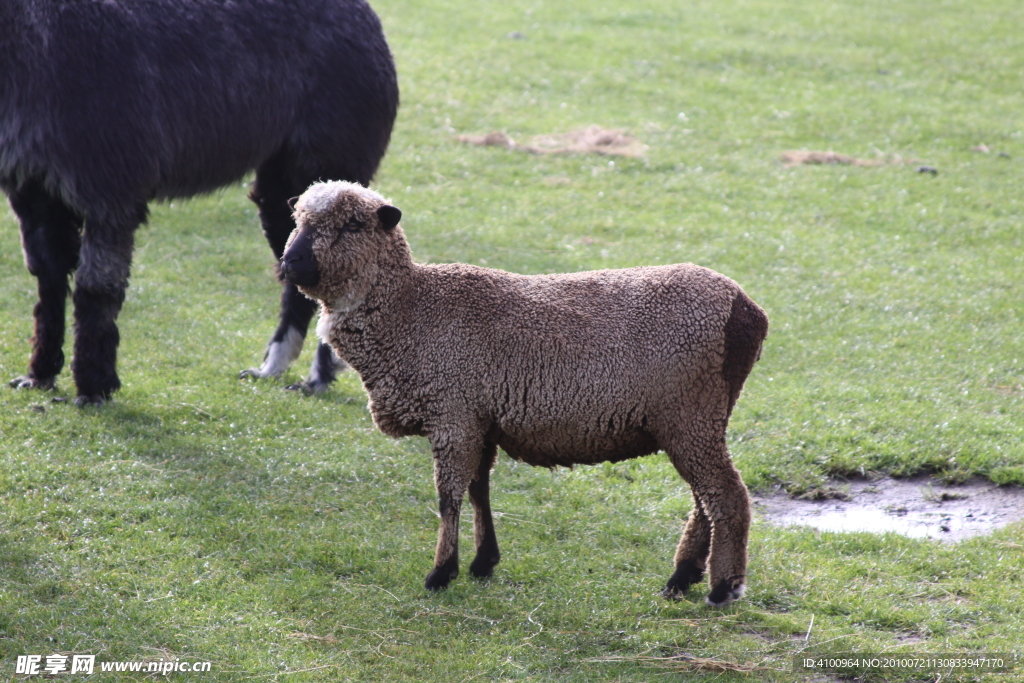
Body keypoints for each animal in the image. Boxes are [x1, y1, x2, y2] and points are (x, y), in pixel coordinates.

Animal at [0, 0, 397, 403]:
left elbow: (96, 287)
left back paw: (316, 378)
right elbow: (48, 280)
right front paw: (39, 375)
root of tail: (368, 18)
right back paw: (272, 369)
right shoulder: (35, 192)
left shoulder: (109, 189)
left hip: (328, 166)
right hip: (283, 187)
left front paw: (95, 387)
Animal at [280, 180, 770, 602]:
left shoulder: (454, 415)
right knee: (704, 499)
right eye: (298, 218)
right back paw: (682, 578)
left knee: (725, 496)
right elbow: (479, 490)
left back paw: (722, 587)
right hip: (695, 417)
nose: (290, 261)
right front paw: (482, 562)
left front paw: (441, 573)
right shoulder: (480, 421)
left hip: (691, 411)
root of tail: (746, 309)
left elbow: (448, 497)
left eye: (352, 224)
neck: (412, 307)